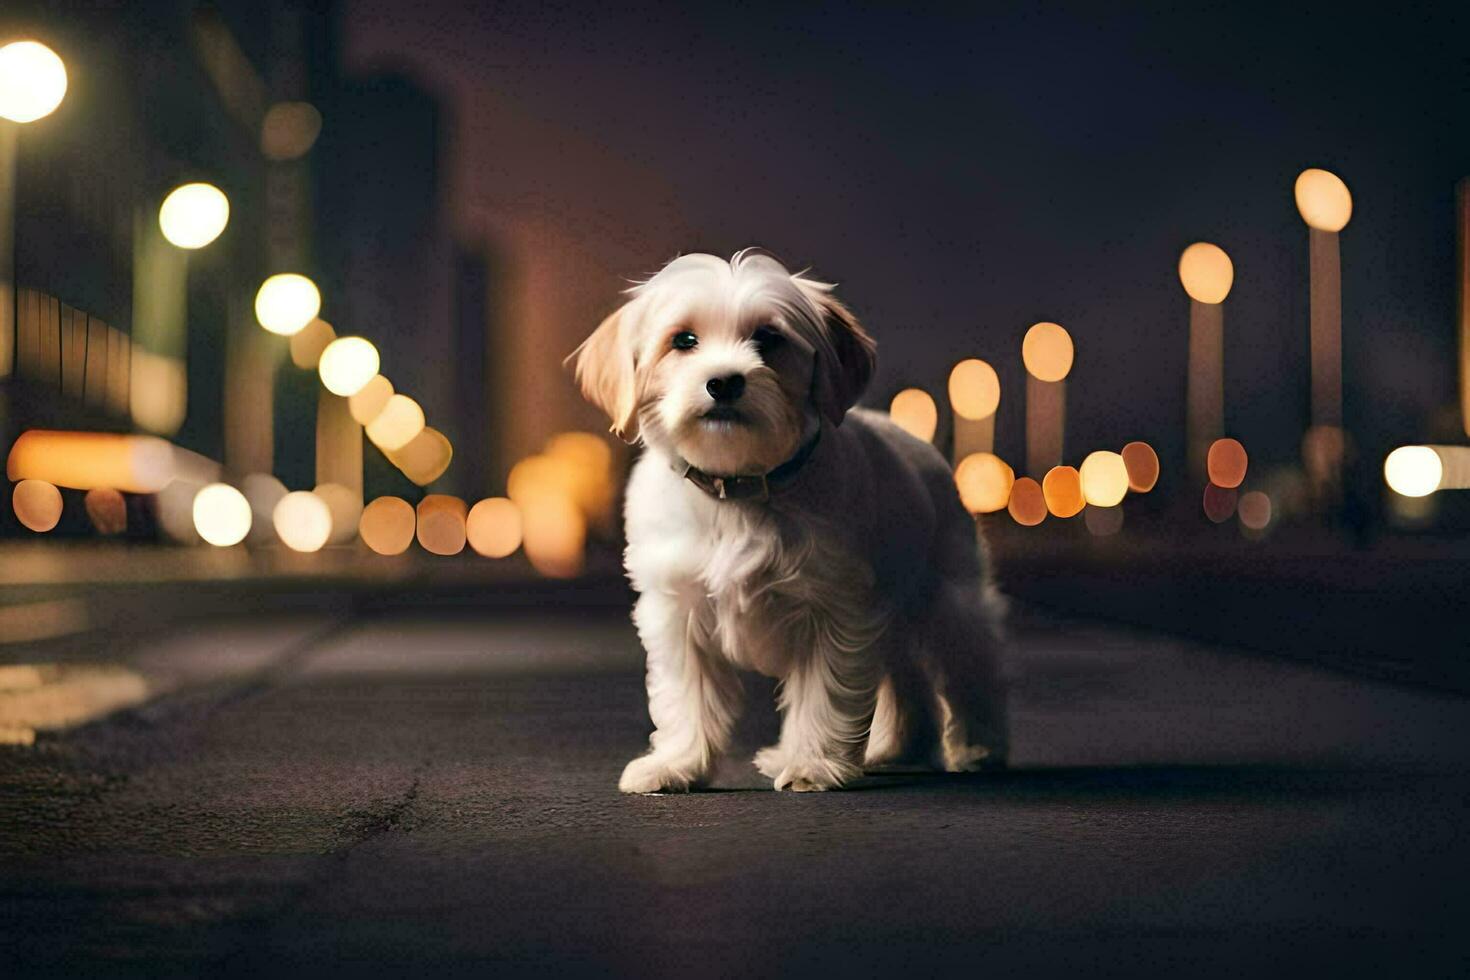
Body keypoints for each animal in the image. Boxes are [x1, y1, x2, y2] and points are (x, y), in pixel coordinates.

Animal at [567, 249, 1005, 793]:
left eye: (768, 338)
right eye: (683, 340)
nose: (724, 381)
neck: (738, 492)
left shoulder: (836, 612)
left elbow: (823, 694)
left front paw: (811, 764)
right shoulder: (678, 610)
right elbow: (685, 699)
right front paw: (676, 764)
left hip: (947, 601)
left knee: (971, 668)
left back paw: (978, 748)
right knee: (907, 680)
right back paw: (895, 748)